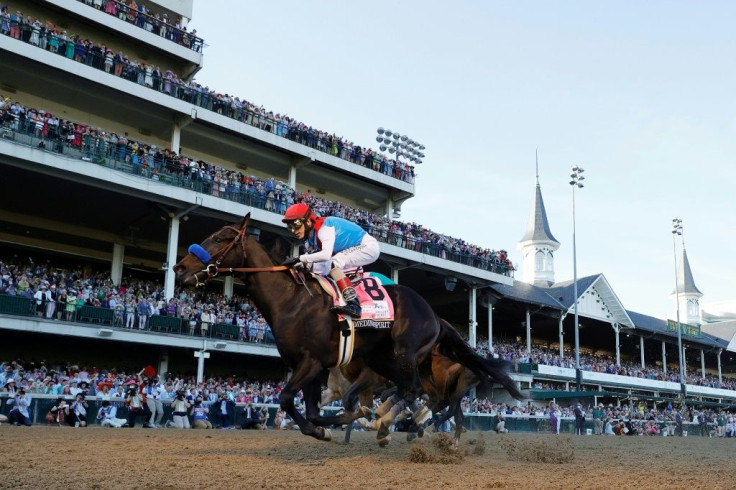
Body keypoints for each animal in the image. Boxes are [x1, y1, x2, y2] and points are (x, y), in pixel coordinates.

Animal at [174, 212, 524, 442]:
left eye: (220, 238)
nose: (179, 267)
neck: (291, 299)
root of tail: (436, 316)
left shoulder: (312, 362)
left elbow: (287, 399)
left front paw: (344, 423)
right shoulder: (311, 367)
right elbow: (312, 409)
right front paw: (328, 427)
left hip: (407, 353)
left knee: (419, 393)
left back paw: (395, 424)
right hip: (383, 359)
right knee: (416, 393)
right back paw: (393, 423)